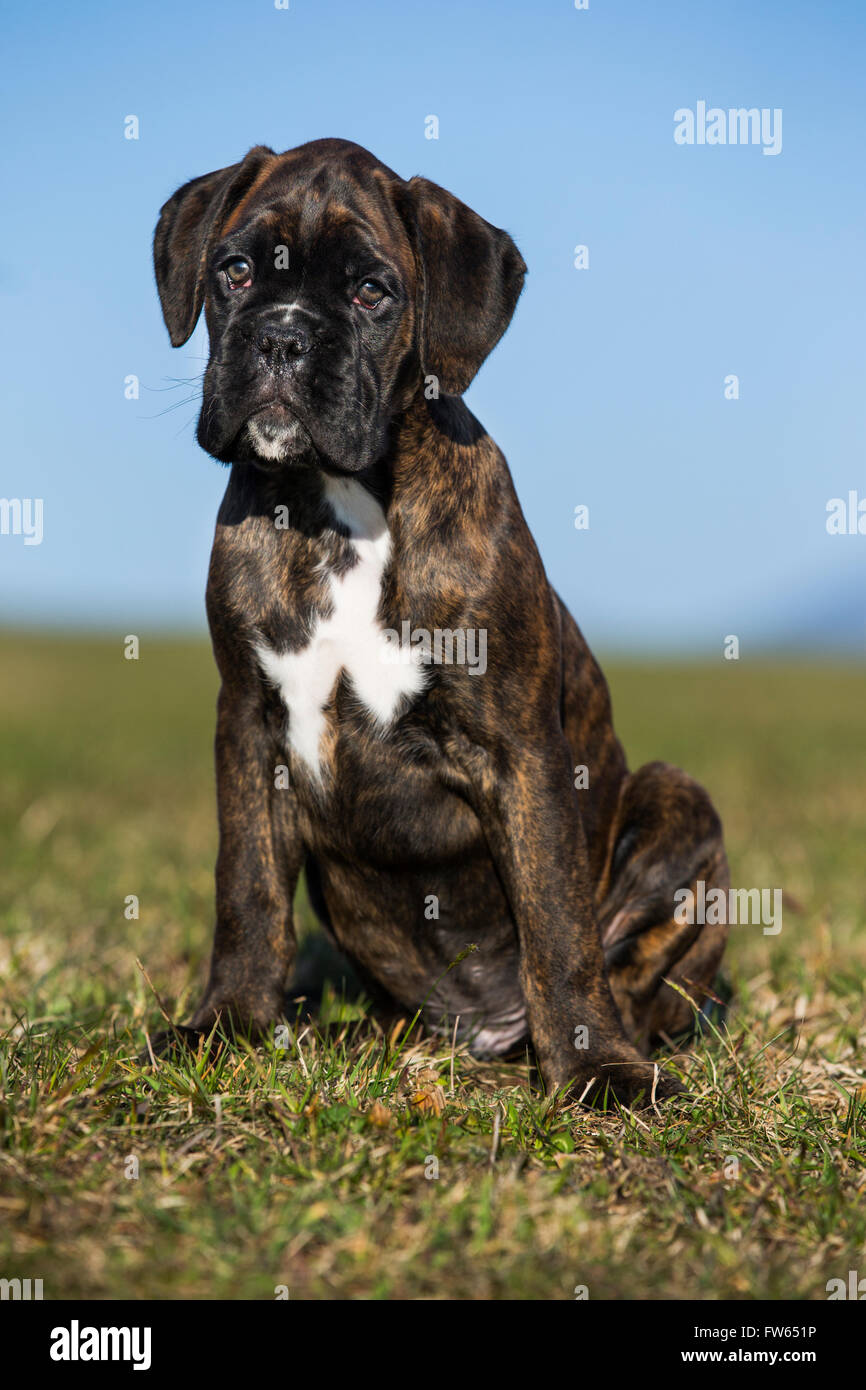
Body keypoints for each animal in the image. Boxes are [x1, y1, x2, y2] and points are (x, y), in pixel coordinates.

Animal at [152, 138, 728, 1106]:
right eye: (234, 271)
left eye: (370, 291)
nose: (280, 337)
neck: (341, 504)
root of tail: (479, 1033)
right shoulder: (249, 728)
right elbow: (248, 891)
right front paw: (227, 1027)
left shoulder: (520, 750)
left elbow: (557, 919)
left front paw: (597, 1070)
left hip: (677, 798)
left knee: (626, 972)